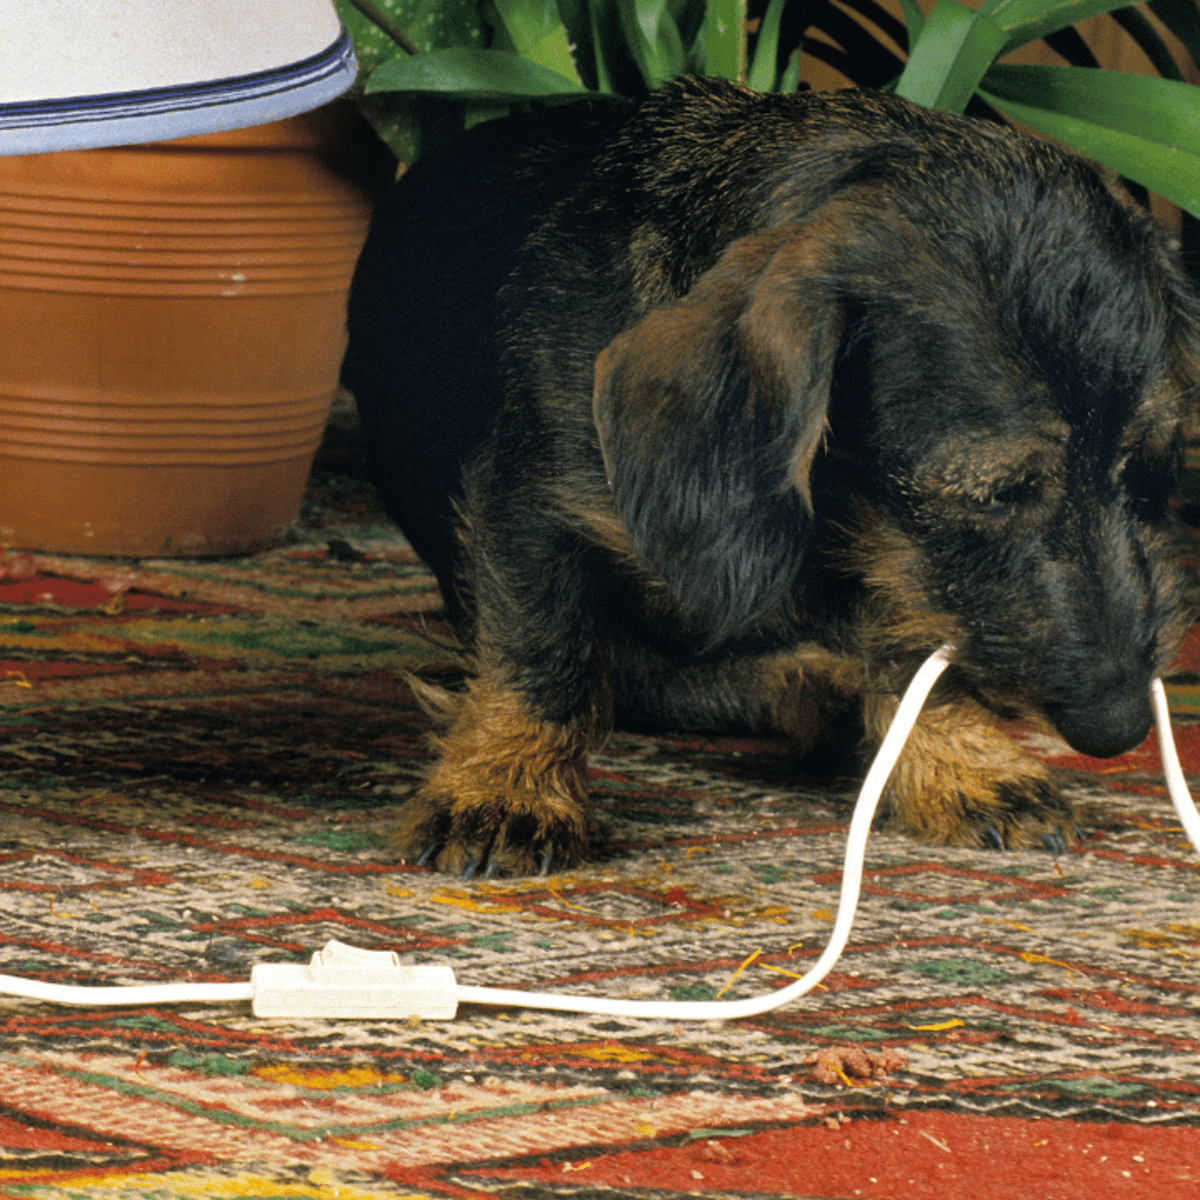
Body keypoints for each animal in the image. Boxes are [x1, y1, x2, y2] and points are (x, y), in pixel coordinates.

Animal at [343, 77, 1195, 883]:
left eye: (1147, 471)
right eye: (999, 494)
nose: (1119, 728)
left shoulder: (902, 559)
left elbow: (912, 636)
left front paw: (961, 759)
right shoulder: (534, 505)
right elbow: (542, 647)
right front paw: (504, 790)